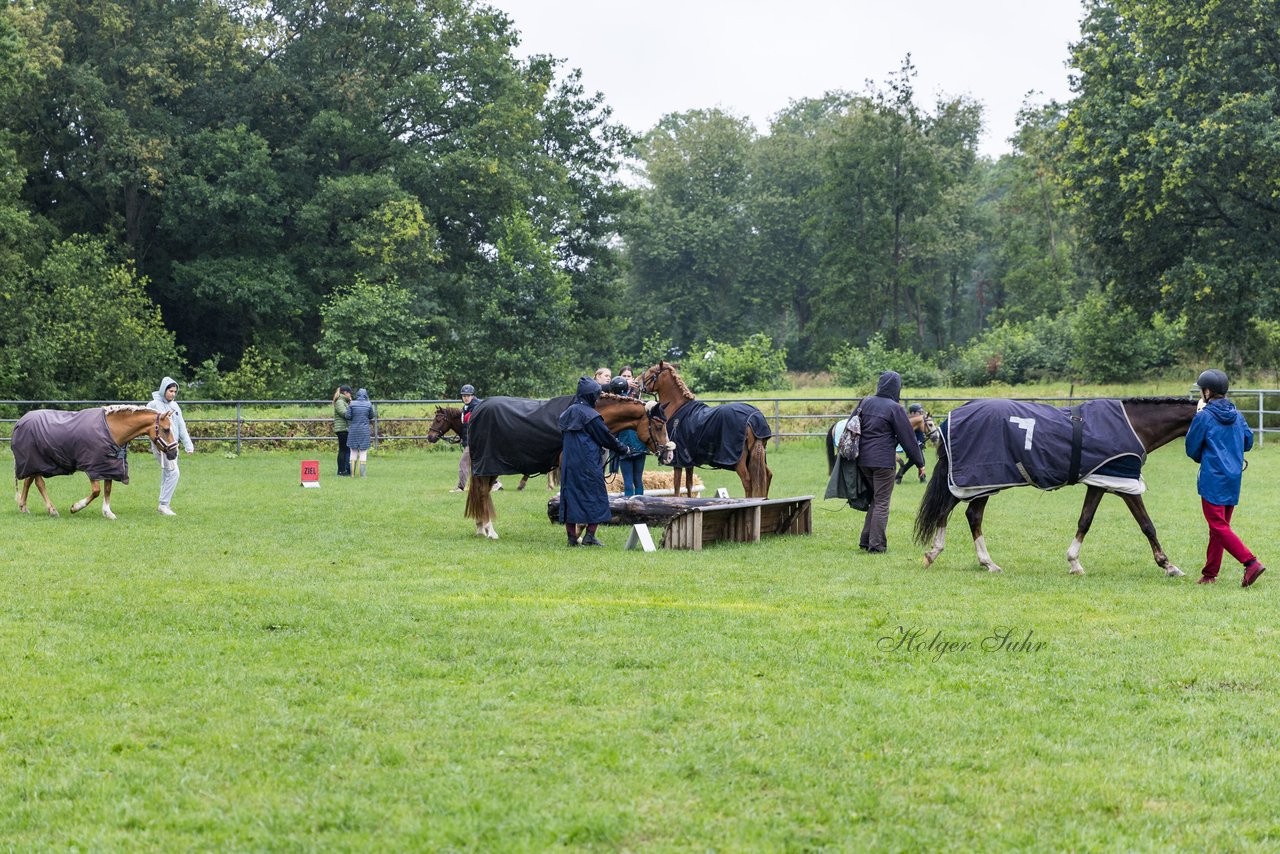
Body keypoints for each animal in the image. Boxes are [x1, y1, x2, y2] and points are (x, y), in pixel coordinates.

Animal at [14, 407, 177, 522]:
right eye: (166, 429)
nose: (174, 453)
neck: (112, 430)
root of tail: (20, 421)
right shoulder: (93, 467)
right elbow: (97, 491)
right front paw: (75, 507)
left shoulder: (108, 466)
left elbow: (107, 489)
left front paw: (108, 513)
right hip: (36, 462)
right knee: (39, 483)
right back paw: (52, 510)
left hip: (34, 464)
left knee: (28, 481)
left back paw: (23, 507)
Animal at [465, 396, 675, 540]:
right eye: (658, 426)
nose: (669, 454)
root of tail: (478, 409)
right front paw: (578, 530)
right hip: (489, 466)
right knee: (483, 492)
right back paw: (489, 530)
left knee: (484, 492)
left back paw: (480, 527)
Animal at [640, 363, 768, 501]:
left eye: (651, 371)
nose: (637, 382)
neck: (678, 407)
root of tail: (753, 418)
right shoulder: (689, 461)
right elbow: (689, 485)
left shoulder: (678, 461)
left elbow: (677, 486)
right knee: (767, 476)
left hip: (740, 461)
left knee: (747, 481)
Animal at [911, 399, 1198, 573]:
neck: (1132, 425)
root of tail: (954, 415)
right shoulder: (1123, 484)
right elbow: (1147, 524)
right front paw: (1168, 565)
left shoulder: (1099, 482)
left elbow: (1085, 520)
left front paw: (1074, 562)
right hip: (981, 480)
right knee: (963, 513)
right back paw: (970, 559)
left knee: (961, 512)